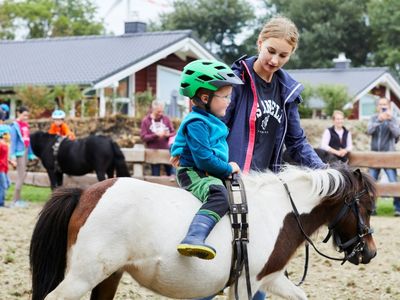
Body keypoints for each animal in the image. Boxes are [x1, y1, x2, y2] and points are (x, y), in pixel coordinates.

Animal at [29, 165, 376, 298]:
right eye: (369, 206)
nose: (370, 252)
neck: (278, 211)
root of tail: (85, 193)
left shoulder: (271, 278)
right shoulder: (248, 283)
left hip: (108, 276)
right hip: (82, 276)